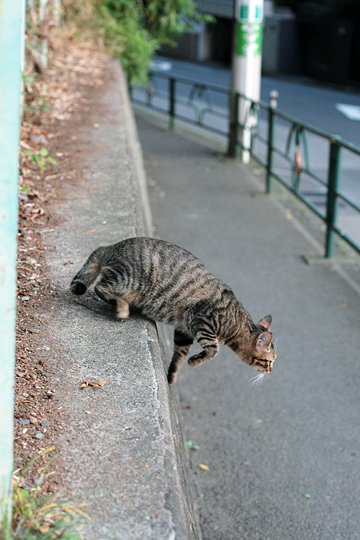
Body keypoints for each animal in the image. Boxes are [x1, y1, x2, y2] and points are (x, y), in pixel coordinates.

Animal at [71, 237, 278, 384]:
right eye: (270, 361)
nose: (271, 371)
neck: (236, 324)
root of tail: (111, 246)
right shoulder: (202, 320)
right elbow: (213, 350)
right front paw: (196, 361)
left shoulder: (184, 332)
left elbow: (179, 357)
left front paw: (172, 375)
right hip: (127, 280)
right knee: (101, 288)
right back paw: (122, 308)